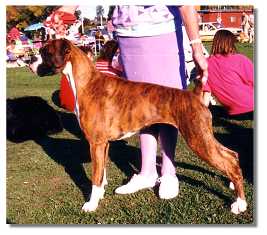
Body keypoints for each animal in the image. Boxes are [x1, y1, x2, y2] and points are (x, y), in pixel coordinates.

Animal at [28, 39, 247, 215]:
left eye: (45, 52)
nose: (30, 60)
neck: (87, 82)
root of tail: (194, 95)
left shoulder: (95, 144)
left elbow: (95, 177)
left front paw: (91, 204)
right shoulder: (103, 145)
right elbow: (102, 172)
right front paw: (100, 194)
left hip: (198, 139)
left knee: (228, 161)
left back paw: (240, 204)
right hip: (204, 137)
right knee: (232, 155)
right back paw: (232, 185)